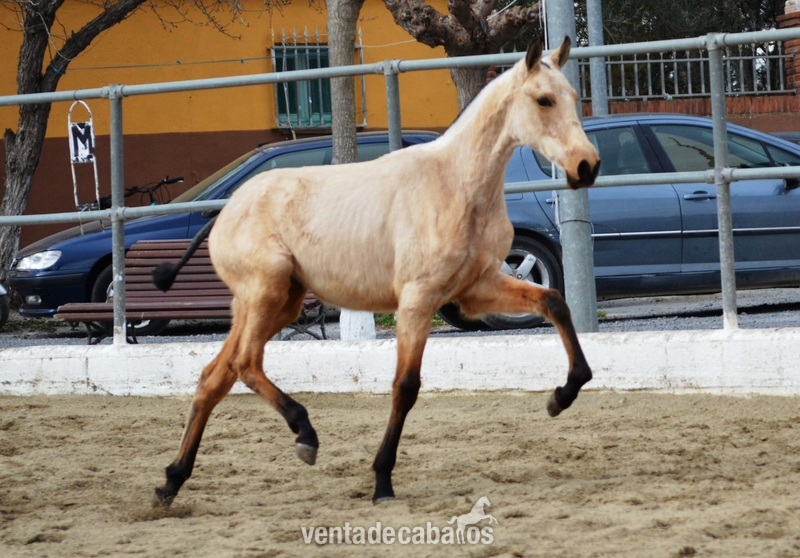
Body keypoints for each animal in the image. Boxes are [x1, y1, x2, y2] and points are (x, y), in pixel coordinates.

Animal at [151, 35, 600, 507]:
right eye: (543, 100)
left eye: (574, 97)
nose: (586, 166)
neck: (456, 186)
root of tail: (224, 211)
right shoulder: (417, 301)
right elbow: (405, 386)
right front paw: (382, 480)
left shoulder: (475, 289)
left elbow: (554, 301)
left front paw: (561, 396)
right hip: (265, 292)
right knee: (244, 363)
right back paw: (304, 435)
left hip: (275, 303)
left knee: (214, 377)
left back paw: (171, 482)